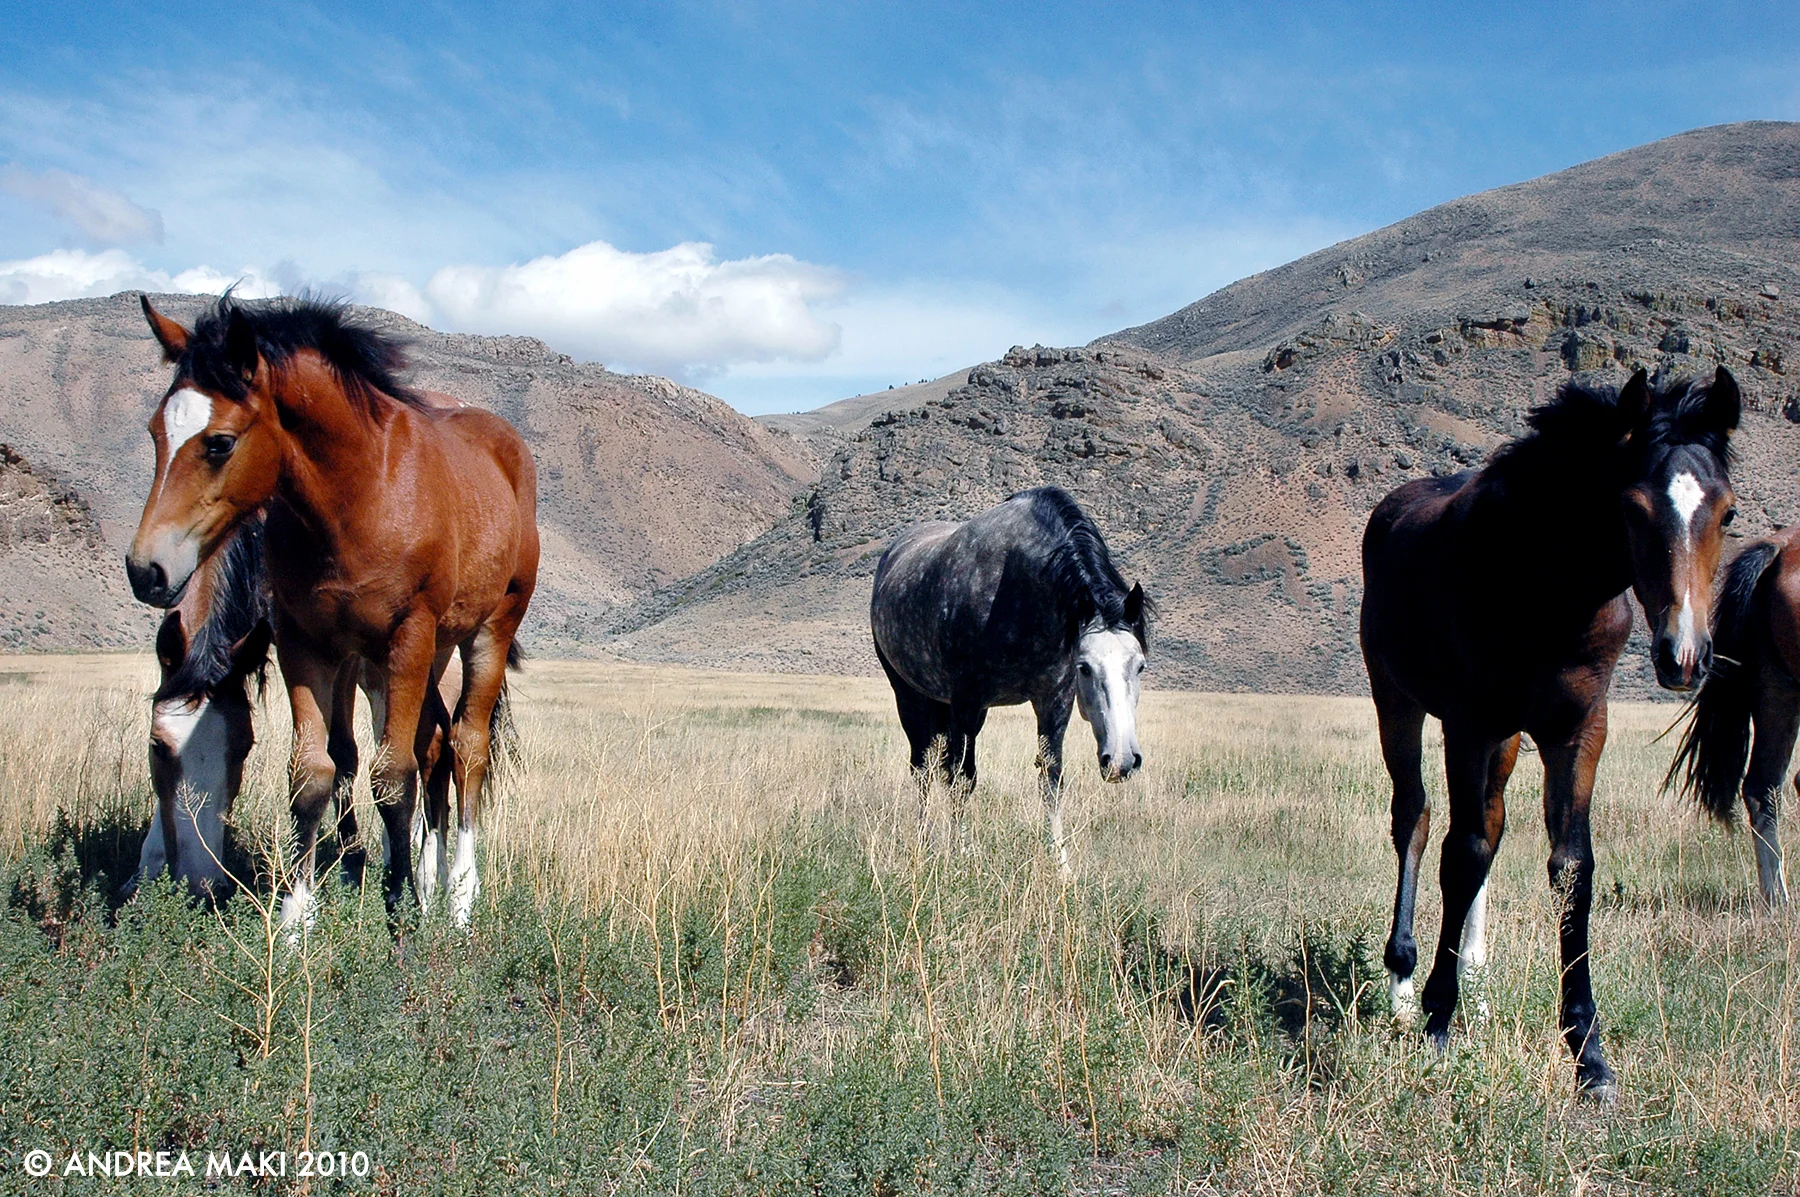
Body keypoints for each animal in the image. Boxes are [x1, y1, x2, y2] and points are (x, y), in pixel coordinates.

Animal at [126, 293, 539, 928]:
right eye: (157, 748)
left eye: (219, 442)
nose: (147, 569)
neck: (357, 493)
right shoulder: (309, 644)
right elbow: (317, 770)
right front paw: (301, 914)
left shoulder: (405, 638)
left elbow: (392, 776)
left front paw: (400, 913)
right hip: (429, 651)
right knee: (433, 746)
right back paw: (425, 876)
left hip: (484, 632)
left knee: (466, 749)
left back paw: (459, 899)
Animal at [870, 486, 1151, 872]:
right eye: (1085, 667)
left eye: (1139, 666)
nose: (1122, 761)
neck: (1018, 583)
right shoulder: (967, 701)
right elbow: (963, 777)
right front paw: (961, 854)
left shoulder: (1053, 699)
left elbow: (1051, 778)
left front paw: (1061, 864)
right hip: (910, 696)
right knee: (924, 768)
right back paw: (924, 841)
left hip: (942, 704)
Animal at [1361, 366, 1739, 1099]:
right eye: (1633, 507)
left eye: (1727, 512)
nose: (1684, 656)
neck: (1544, 586)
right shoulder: (1469, 721)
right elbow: (1461, 851)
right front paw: (1437, 1018)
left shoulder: (1579, 727)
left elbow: (1570, 868)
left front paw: (1588, 1051)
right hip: (1398, 699)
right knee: (1416, 819)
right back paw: (1403, 983)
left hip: (1508, 739)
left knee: (1491, 820)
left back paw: (1477, 987)